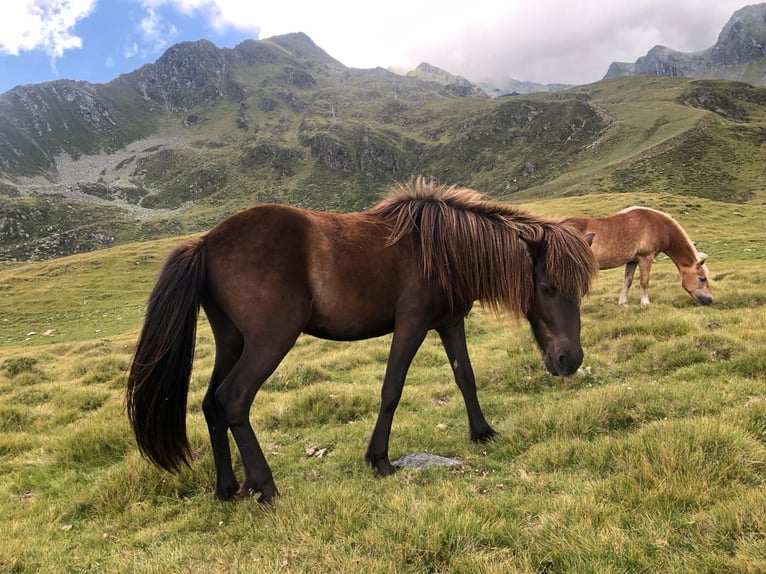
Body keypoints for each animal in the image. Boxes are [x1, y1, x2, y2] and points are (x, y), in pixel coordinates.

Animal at [126, 178, 598, 503]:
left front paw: (482, 432)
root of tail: (206, 241)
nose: (570, 360)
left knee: (211, 404)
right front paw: (379, 459)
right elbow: (392, 390)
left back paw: (228, 488)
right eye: (547, 286)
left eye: (581, 289)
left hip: (231, 341)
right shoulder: (411, 326)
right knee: (233, 399)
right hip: (268, 341)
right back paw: (265, 485)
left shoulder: (449, 323)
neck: (442, 248)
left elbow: (465, 377)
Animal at [562, 206, 712, 307]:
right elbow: (644, 281)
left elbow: (627, 281)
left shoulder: (632, 261)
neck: (657, 224)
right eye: (702, 278)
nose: (710, 300)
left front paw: (623, 303)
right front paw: (645, 304)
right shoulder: (646, 257)